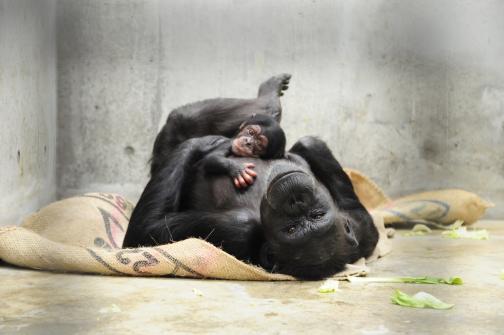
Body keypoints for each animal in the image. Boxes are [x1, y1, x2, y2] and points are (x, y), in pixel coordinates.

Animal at [124, 74, 378, 280]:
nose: (295, 200)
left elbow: (145, 231)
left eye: (291, 229)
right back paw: (270, 94)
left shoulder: (238, 229)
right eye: (316, 215)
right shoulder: (359, 227)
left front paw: (207, 146)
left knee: (181, 122)